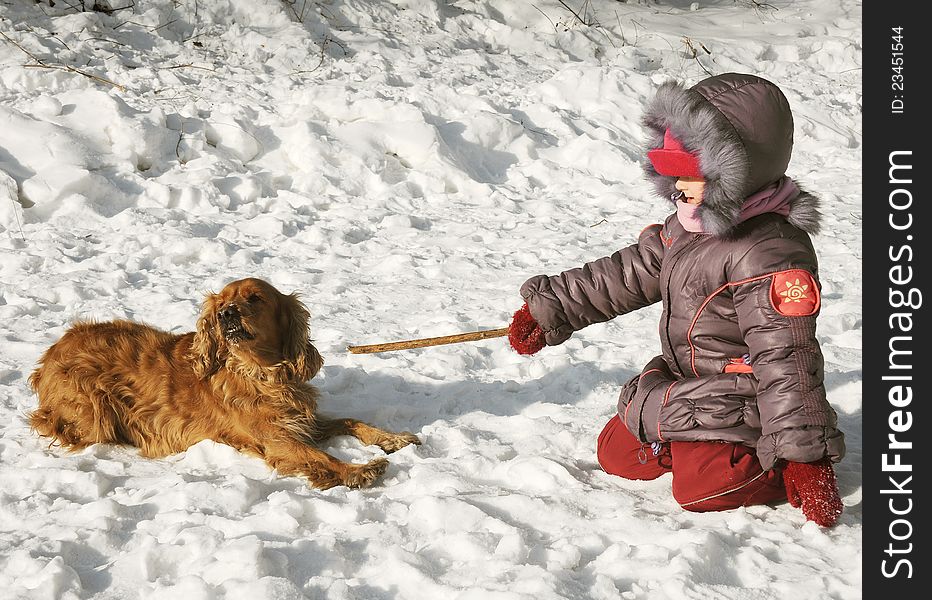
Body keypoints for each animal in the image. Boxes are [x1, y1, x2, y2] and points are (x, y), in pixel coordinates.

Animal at [27, 278, 418, 490]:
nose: (225, 313)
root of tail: (49, 355)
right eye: (224, 302)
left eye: (255, 298)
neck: (261, 373)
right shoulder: (276, 439)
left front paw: (391, 438)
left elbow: (351, 420)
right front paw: (358, 470)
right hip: (95, 412)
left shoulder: (299, 420)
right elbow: (319, 455)